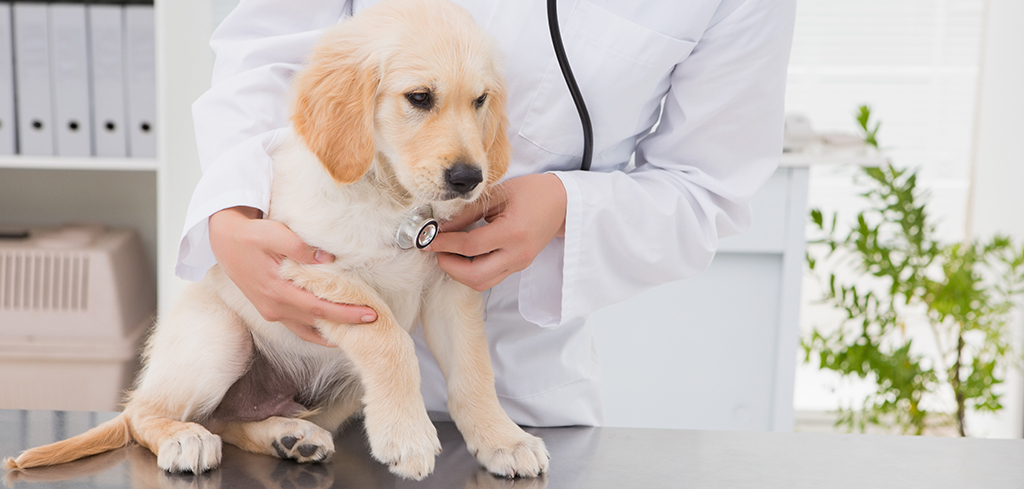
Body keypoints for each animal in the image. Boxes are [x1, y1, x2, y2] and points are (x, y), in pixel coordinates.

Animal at [6, 0, 552, 480]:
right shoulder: (307, 267)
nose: (469, 178)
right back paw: (185, 437)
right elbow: (389, 339)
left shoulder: (450, 287)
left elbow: (474, 372)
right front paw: (407, 435)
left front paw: (502, 439)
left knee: (227, 422)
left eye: (480, 101)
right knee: (147, 414)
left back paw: (288, 436)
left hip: (339, 393)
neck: (394, 201)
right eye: (419, 98)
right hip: (221, 336)